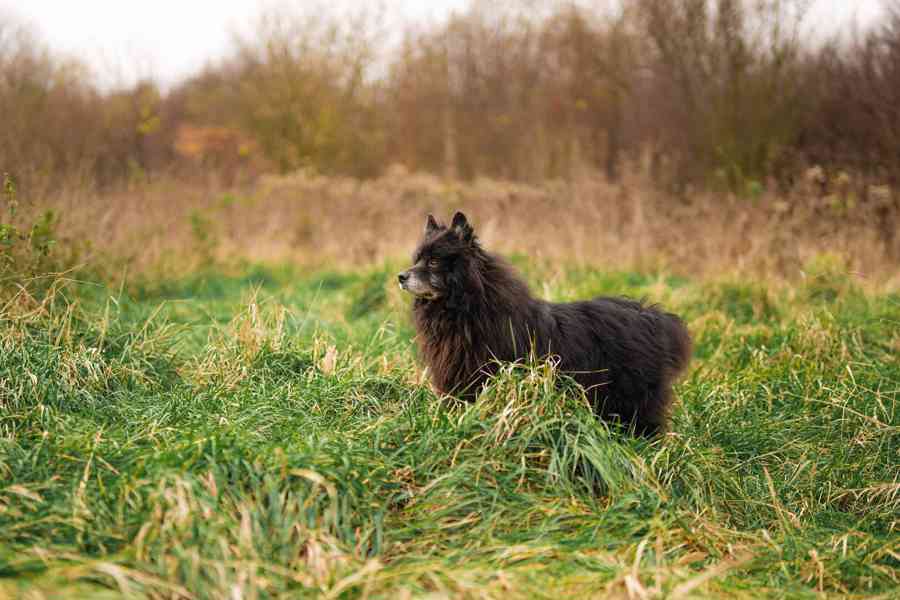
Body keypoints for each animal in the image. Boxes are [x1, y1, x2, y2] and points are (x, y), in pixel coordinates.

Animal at [398, 212, 692, 436]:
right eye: (417, 260)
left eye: (434, 261)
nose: (401, 276)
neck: (464, 309)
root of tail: (652, 316)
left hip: (633, 403)